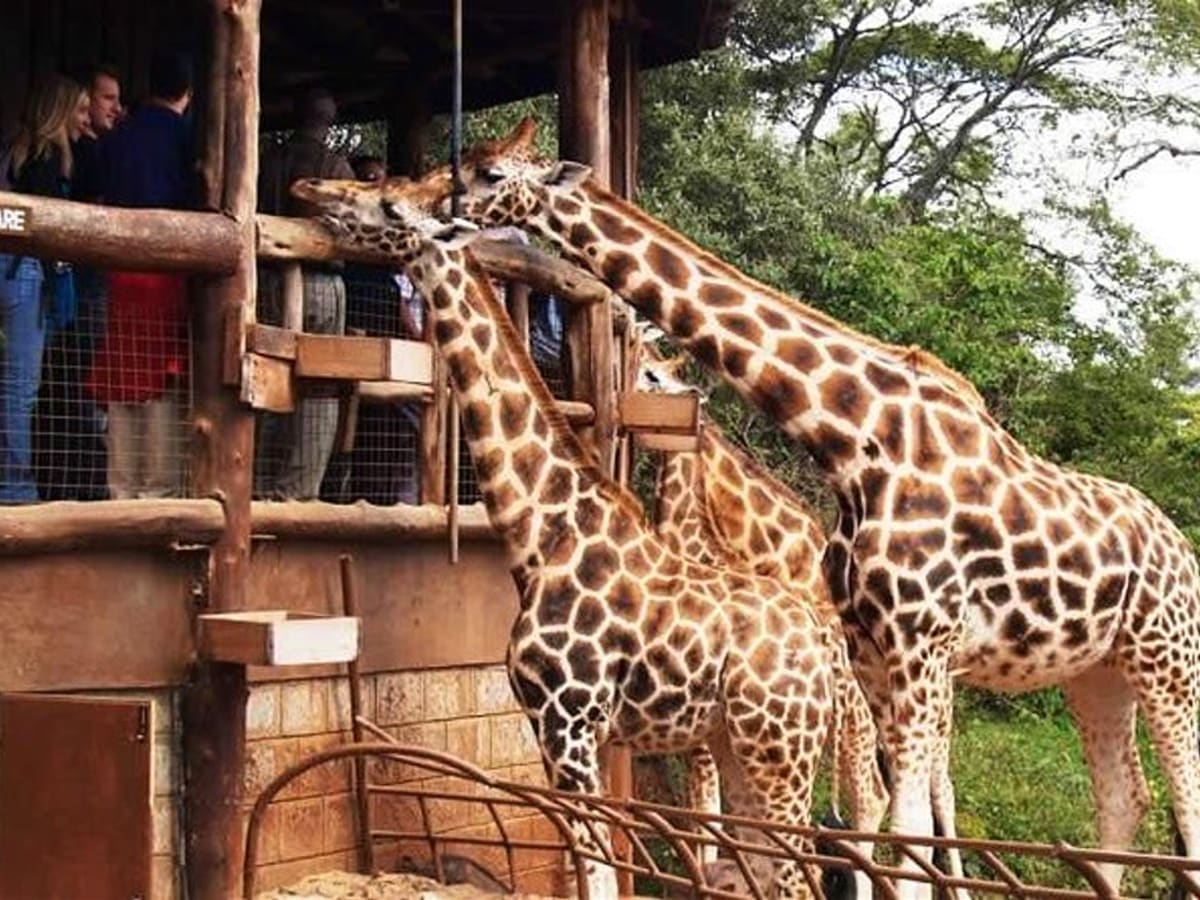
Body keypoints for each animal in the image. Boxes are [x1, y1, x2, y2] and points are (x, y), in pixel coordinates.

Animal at [291, 172, 844, 899]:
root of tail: (823, 651)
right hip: (739, 744)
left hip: (779, 748)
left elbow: (599, 867)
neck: (543, 534)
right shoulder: (552, 727)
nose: (310, 187)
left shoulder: (570, 723)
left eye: (388, 204)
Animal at [454, 118, 1200, 897]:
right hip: (1096, 670)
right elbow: (874, 813)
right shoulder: (873, 650)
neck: (854, 439)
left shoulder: (922, 646)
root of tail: (1182, 546)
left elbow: (898, 820)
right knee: (1123, 796)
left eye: (489, 174)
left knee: (1183, 797)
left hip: (1167, 656)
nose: (436, 200)